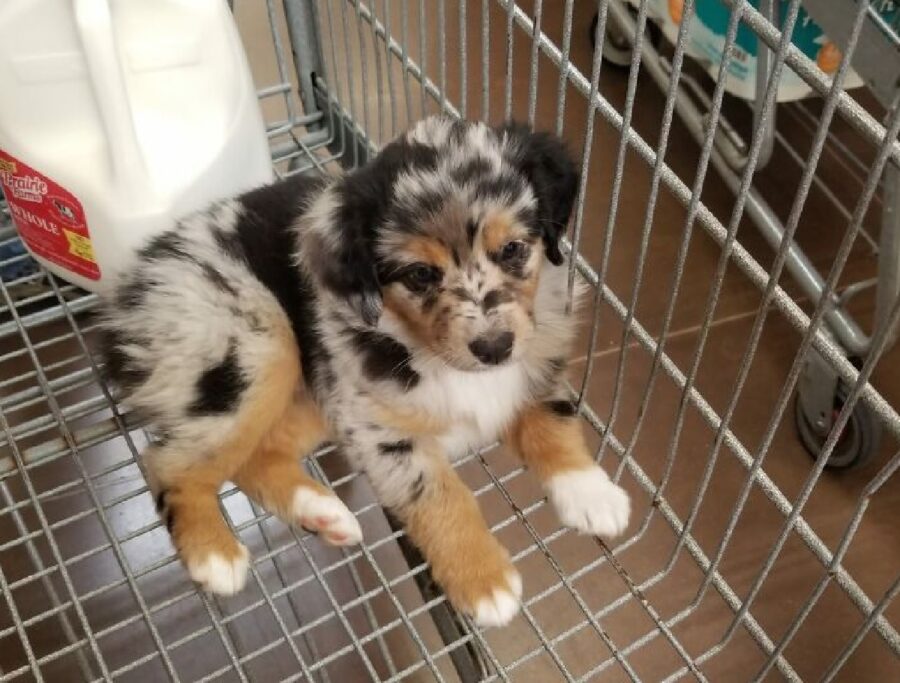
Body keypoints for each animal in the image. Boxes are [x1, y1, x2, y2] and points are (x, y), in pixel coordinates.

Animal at [98, 117, 628, 632]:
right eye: (420, 275)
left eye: (514, 249)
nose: (495, 348)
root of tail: (126, 300)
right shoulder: (382, 431)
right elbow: (438, 495)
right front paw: (483, 580)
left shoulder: (539, 358)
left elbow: (552, 419)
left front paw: (590, 490)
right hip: (254, 346)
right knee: (167, 462)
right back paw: (214, 554)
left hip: (309, 390)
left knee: (253, 456)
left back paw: (324, 513)